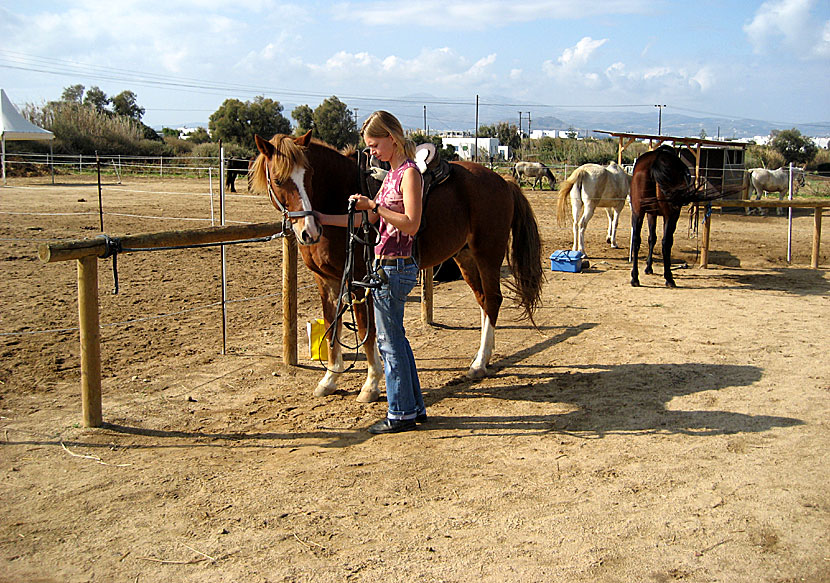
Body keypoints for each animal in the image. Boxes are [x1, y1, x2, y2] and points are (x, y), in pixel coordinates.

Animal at [250, 132, 544, 404]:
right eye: (279, 180)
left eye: (309, 175)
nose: (309, 231)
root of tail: (503, 182)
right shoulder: (327, 282)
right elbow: (333, 328)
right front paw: (330, 379)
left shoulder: (359, 282)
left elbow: (366, 332)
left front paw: (370, 385)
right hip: (466, 257)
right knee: (483, 300)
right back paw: (482, 358)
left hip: (487, 254)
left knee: (493, 300)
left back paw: (479, 363)